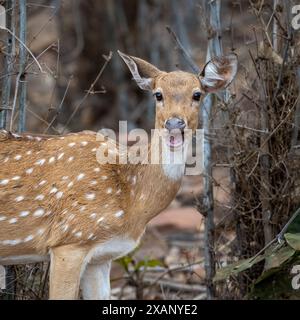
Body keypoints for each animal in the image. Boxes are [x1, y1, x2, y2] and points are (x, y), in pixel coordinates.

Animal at [0, 51, 237, 298]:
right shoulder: (70, 240)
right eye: (158, 94)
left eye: (197, 94)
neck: (130, 199)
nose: (174, 123)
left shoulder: (100, 257)